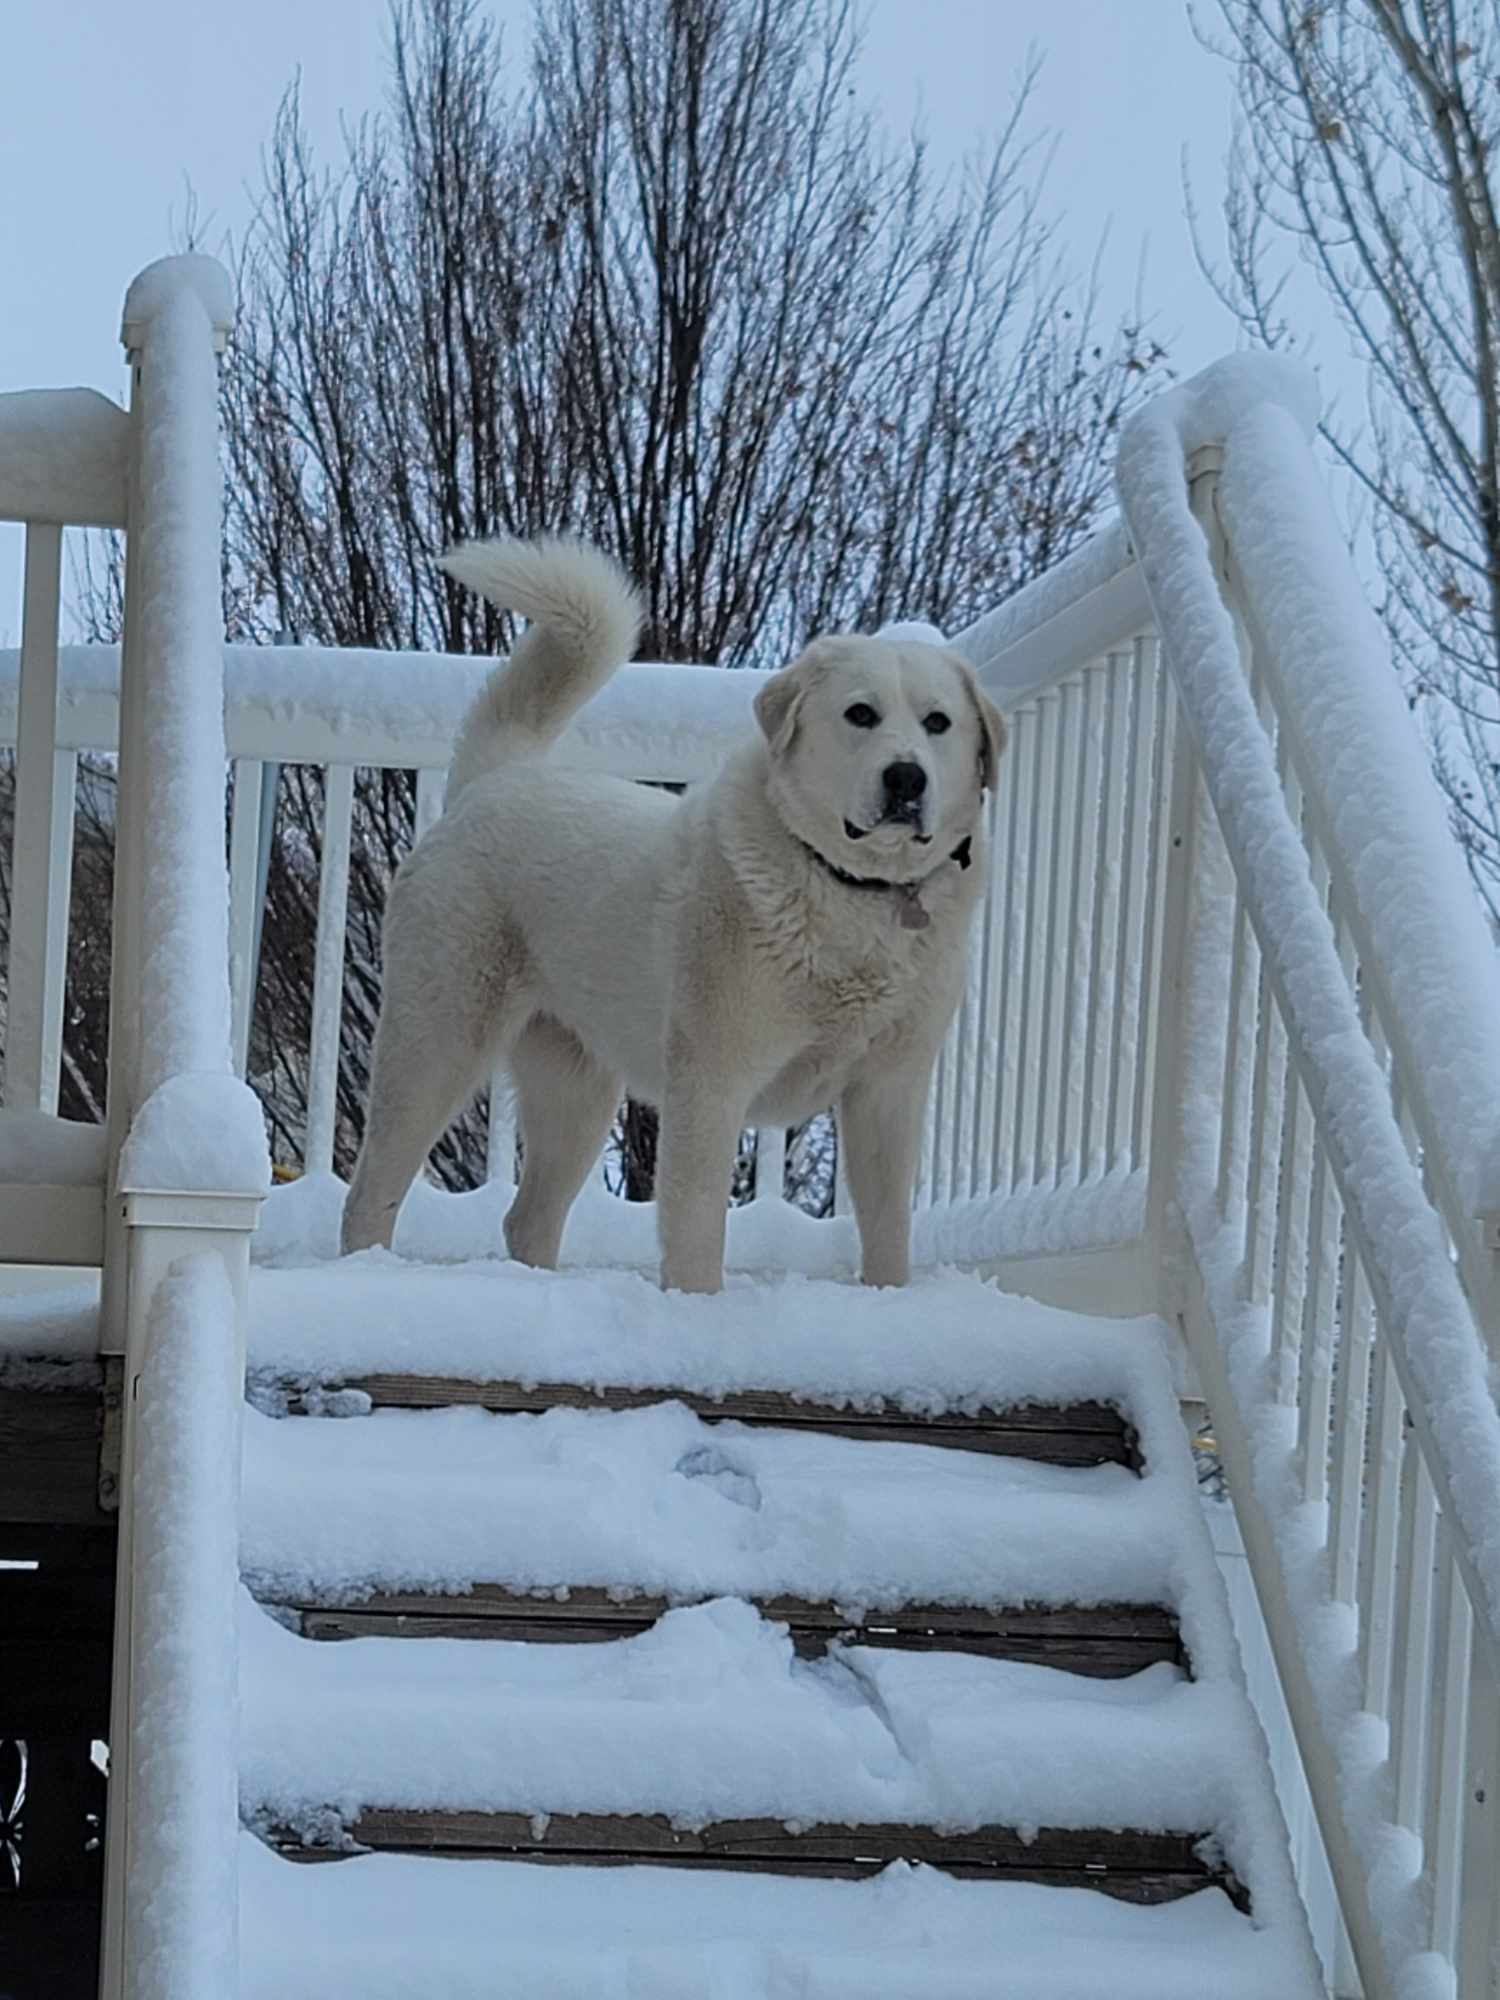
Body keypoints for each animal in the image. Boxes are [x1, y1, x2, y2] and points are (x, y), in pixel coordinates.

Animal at [346, 536, 1012, 1280]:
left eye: (938, 723)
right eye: (860, 714)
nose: (906, 778)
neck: (851, 893)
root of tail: (495, 778)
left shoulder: (888, 1094)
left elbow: (890, 1232)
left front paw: (889, 1299)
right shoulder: (712, 1085)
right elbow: (697, 1236)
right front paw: (696, 1305)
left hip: (575, 1087)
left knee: (528, 1217)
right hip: (438, 1040)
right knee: (372, 1188)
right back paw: (363, 1270)